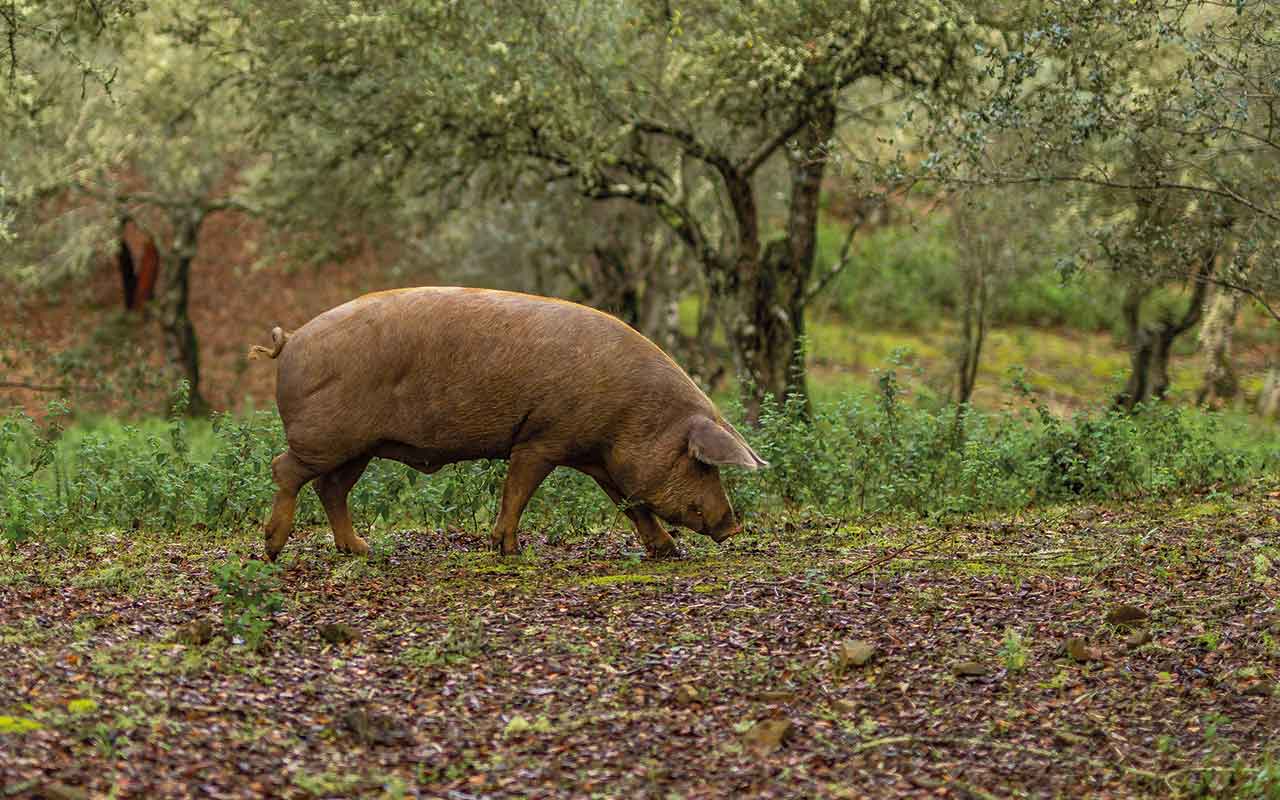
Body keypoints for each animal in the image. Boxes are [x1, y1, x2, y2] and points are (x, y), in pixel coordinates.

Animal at [248, 287, 767, 561]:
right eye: (702, 465)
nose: (734, 527)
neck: (632, 416)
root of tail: (289, 340)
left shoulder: (600, 458)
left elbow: (631, 505)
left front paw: (669, 552)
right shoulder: (543, 438)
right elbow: (518, 489)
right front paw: (509, 549)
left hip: (358, 447)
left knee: (330, 488)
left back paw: (360, 550)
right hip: (327, 437)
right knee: (285, 470)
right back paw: (273, 550)